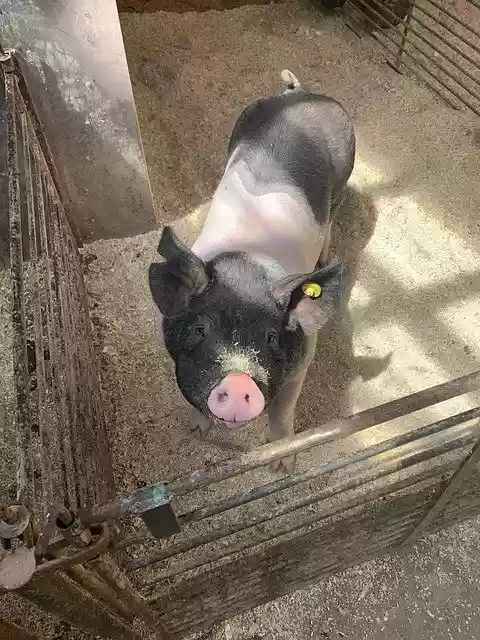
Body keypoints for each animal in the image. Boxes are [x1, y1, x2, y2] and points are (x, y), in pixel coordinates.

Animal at [149, 70, 355, 473]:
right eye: (200, 329)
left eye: (271, 338)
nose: (239, 381)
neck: (246, 264)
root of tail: (300, 94)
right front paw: (195, 433)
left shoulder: (304, 356)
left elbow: (283, 412)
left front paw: (282, 466)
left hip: (345, 170)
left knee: (332, 216)